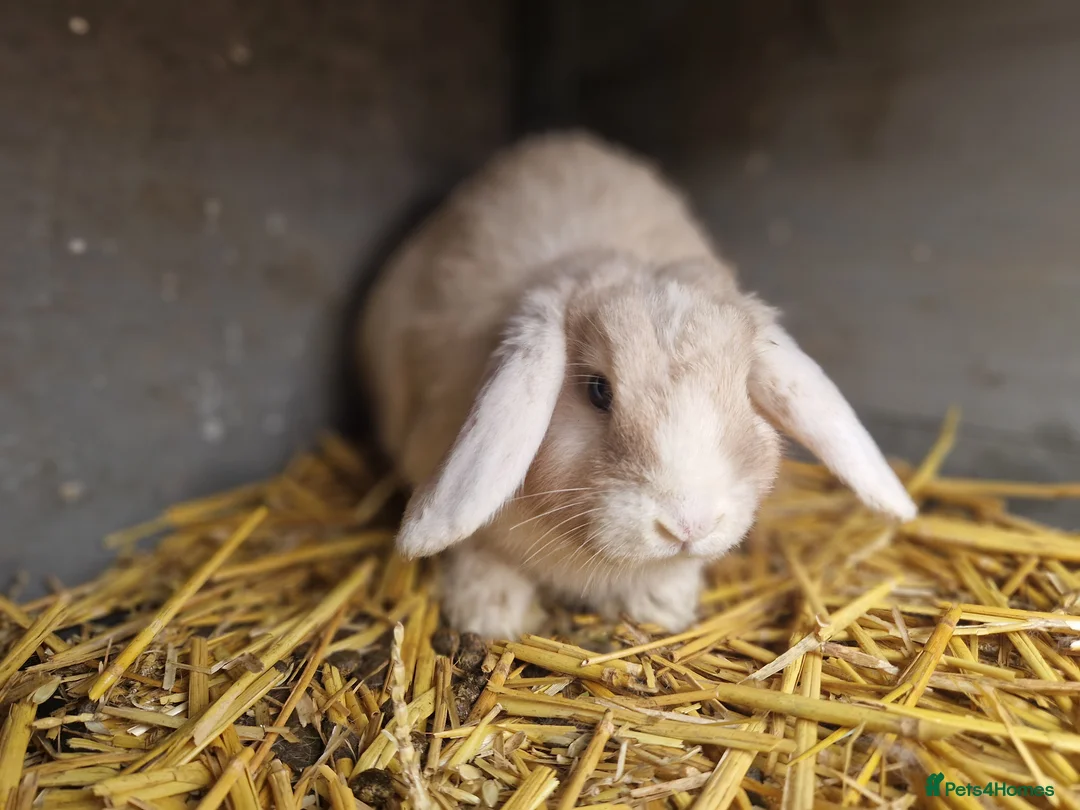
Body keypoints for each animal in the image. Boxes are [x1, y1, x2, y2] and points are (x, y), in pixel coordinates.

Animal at [358, 131, 916, 640]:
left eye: (741, 390)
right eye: (597, 391)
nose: (689, 526)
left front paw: (662, 606)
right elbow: (478, 551)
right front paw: (491, 616)